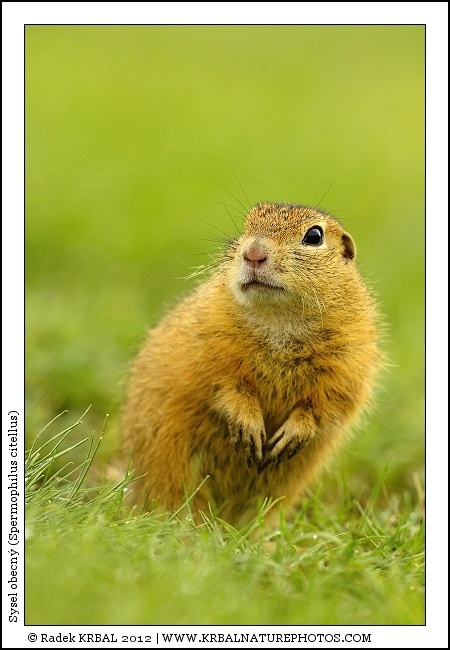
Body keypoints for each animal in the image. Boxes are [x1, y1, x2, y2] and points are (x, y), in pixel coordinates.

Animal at [122, 202, 381, 528]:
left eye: (314, 236)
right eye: (247, 224)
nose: (253, 253)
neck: (280, 320)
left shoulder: (349, 363)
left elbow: (328, 403)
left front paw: (290, 435)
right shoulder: (212, 348)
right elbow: (226, 386)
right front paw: (250, 428)